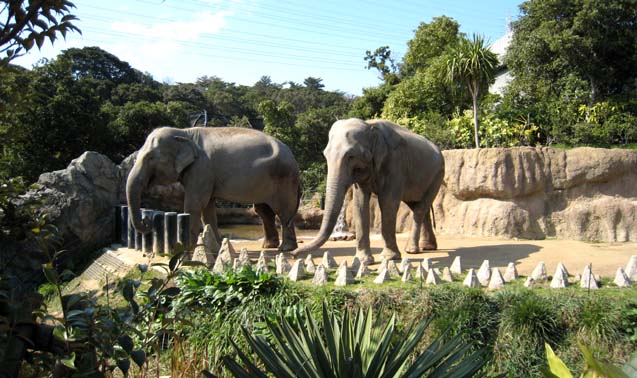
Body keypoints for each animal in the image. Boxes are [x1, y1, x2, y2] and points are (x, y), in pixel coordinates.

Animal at [128, 127, 302, 251]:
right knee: (264, 211)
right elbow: (208, 208)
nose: (146, 220)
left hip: (284, 180)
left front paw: (188, 249)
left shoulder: (201, 169)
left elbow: (195, 204)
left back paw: (285, 249)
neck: (185, 133)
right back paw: (269, 246)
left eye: (150, 157)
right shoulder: (204, 174)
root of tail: (293, 157)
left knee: (283, 211)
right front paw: (216, 246)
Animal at [290, 118, 442, 262]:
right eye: (325, 155)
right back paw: (426, 247)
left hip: (437, 175)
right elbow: (360, 202)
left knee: (420, 209)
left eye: (351, 156)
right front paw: (363, 260)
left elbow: (388, 202)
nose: (293, 255)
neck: (370, 125)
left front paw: (389, 258)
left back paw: (412, 250)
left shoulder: (396, 163)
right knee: (418, 207)